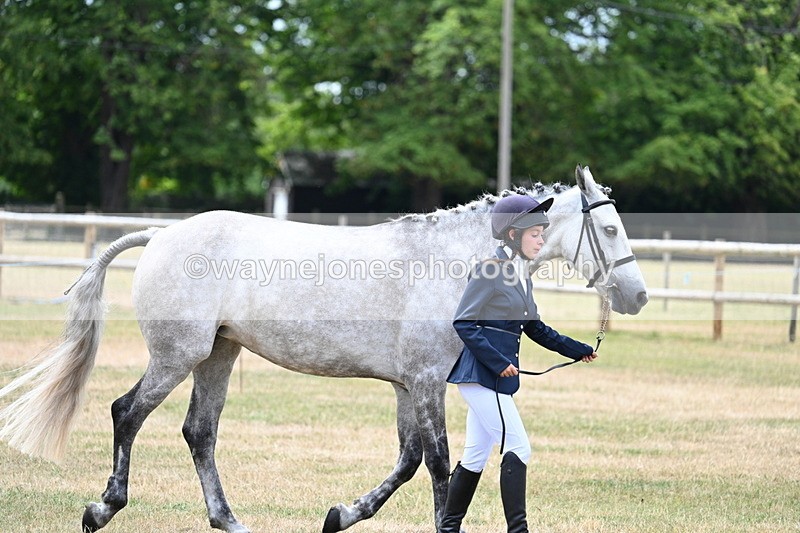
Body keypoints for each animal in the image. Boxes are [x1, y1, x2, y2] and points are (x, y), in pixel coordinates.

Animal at [0, 165, 648, 532]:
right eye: (609, 229)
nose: (637, 295)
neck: (452, 262)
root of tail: (162, 234)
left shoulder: (407, 385)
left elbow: (408, 460)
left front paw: (340, 516)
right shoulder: (428, 380)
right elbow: (439, 463)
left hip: (218, 356)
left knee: (198, 433)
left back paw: (229, 521)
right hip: (177, 356)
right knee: (127, 413)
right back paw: (101, 509)